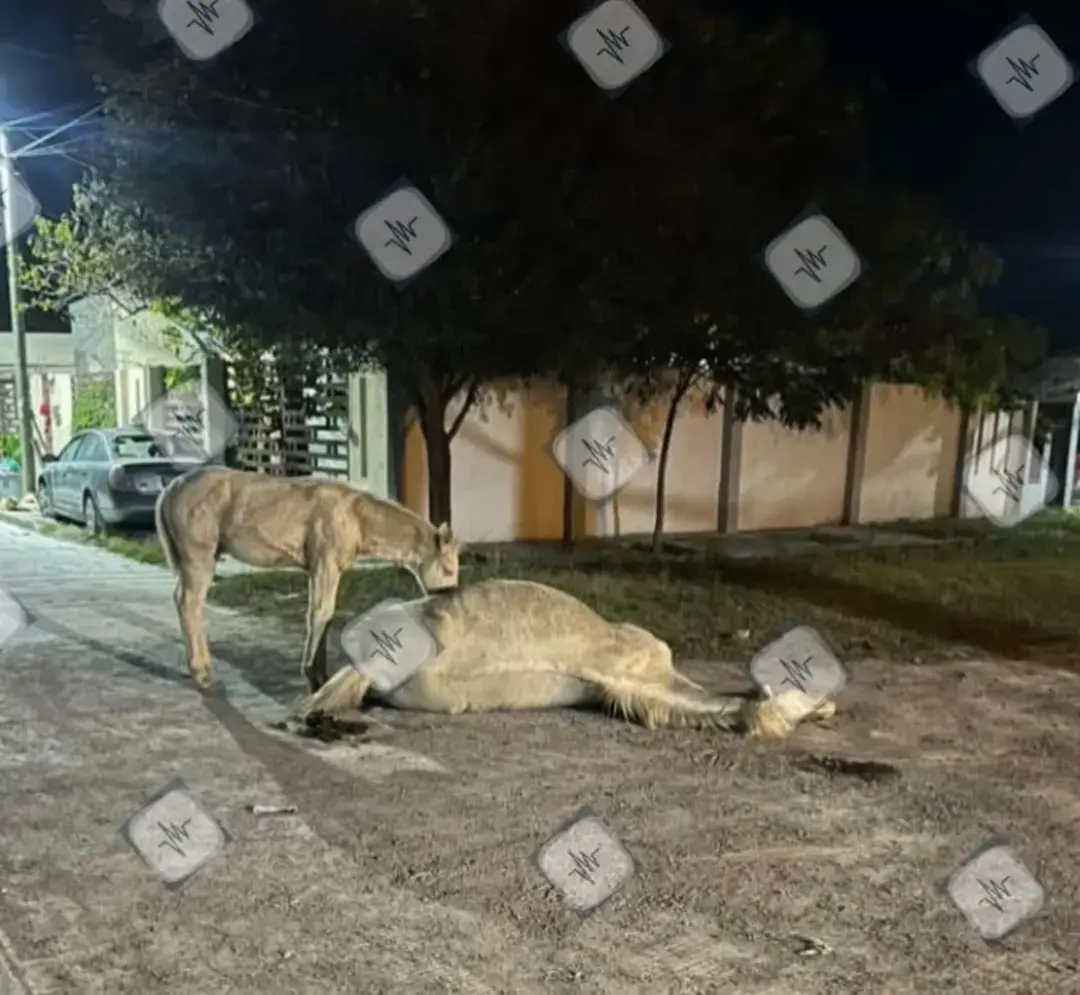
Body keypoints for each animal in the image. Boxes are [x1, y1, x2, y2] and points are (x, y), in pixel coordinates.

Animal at [156, 466, 460, 691]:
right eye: (448, 569)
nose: (448, 599)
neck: (356, 517)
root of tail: (171, 489)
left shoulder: (316, 569)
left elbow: (322, 614)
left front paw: (318, 672)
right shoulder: (326, 564)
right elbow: (321, 612)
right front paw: (314, 676)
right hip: (199, 556)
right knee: (190, 603)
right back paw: (201, 672)